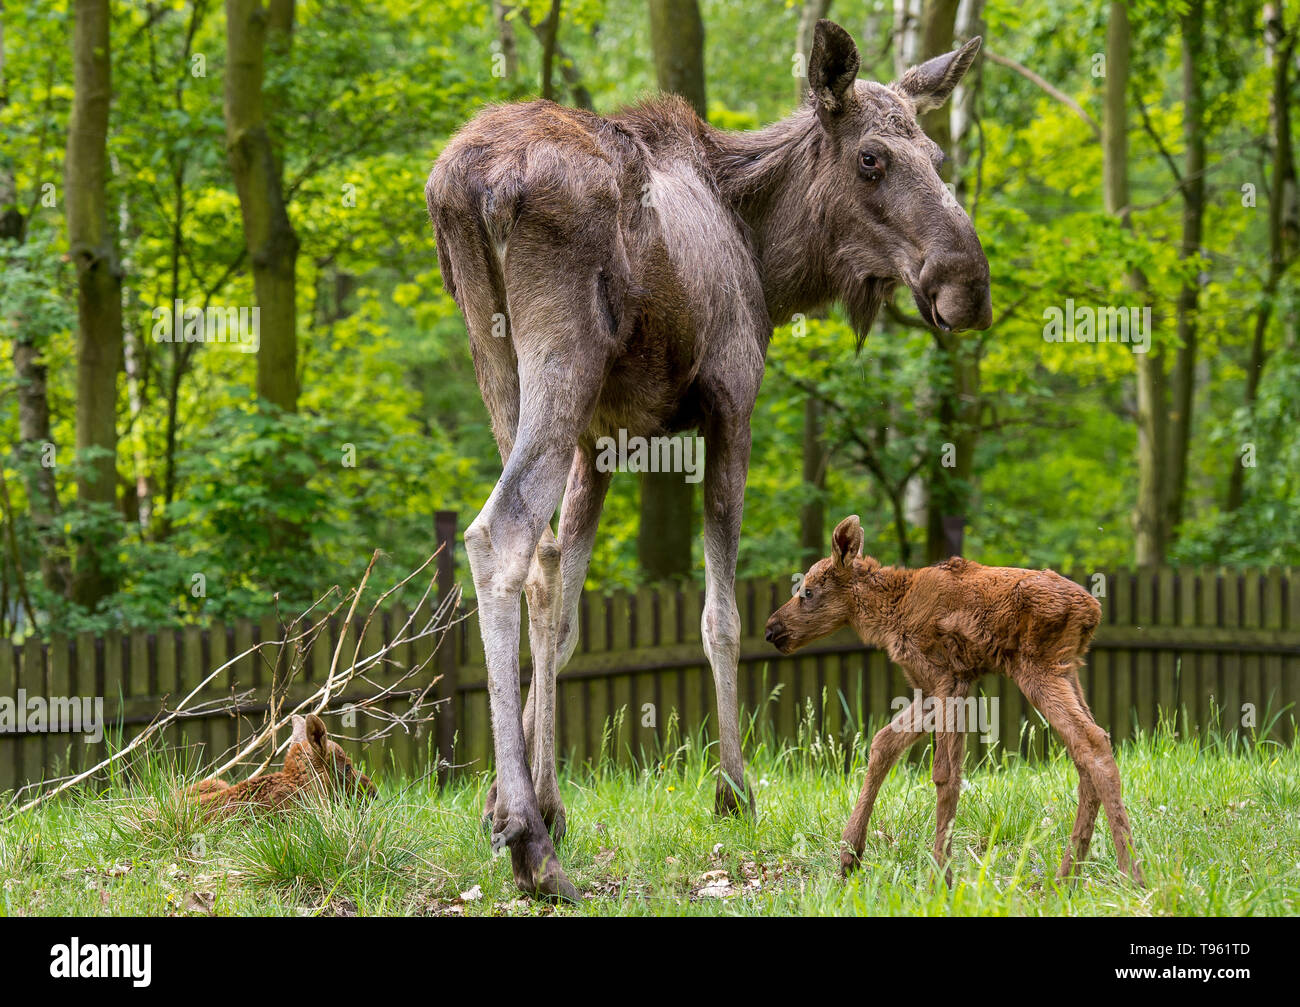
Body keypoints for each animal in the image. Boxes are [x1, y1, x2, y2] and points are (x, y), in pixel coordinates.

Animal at [426, 20, 992, 900]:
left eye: (935, 152)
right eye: (872, 158)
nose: (970, 285)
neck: (769, 254)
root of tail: (468, 184)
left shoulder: (603, 442)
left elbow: (565, 610)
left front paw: (530, 798)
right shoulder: (731, 399)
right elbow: (720, 614)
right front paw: (732, 786)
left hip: (500, 369)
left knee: (528, 551)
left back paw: (524, 815)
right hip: (563, 356)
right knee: (498, 532)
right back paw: (533, 849)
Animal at [764, 515, 1145, 887]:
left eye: (808, 591)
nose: (771, 629)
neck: (889, 612)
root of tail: (1093, 610)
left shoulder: (946, 677)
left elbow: (944, 774)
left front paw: (940, 877)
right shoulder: (932, 687)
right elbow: (884, 743)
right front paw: (849, 856)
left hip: (1039, 667)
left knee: (1092, 742)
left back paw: (1130, 874)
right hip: (1069, 668)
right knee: (1087, 748)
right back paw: (1067, 877)